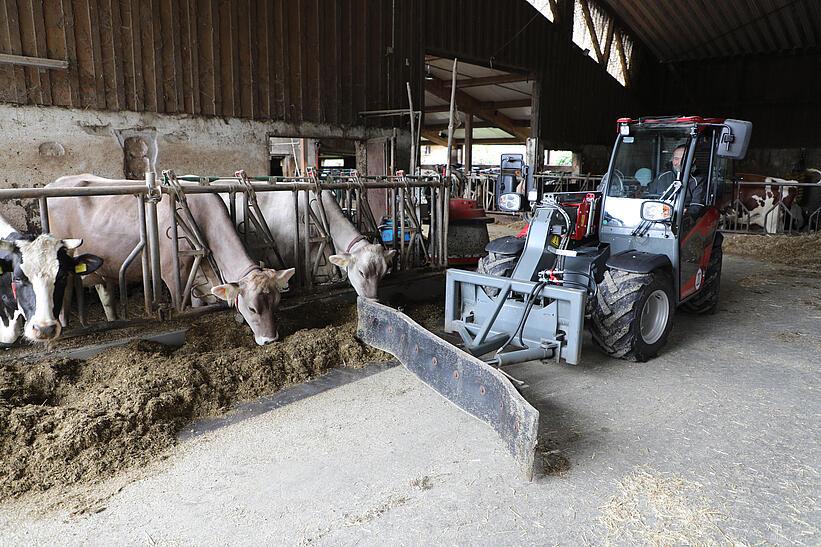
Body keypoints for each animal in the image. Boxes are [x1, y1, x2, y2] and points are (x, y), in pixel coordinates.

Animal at [46, 176, 294, 346]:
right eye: (252, 308)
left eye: (277, 302)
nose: (270, 340)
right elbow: (187, 308)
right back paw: (63, 328)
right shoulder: (175, 276)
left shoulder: (200, 279)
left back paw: (111, 319)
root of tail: (55, 183)